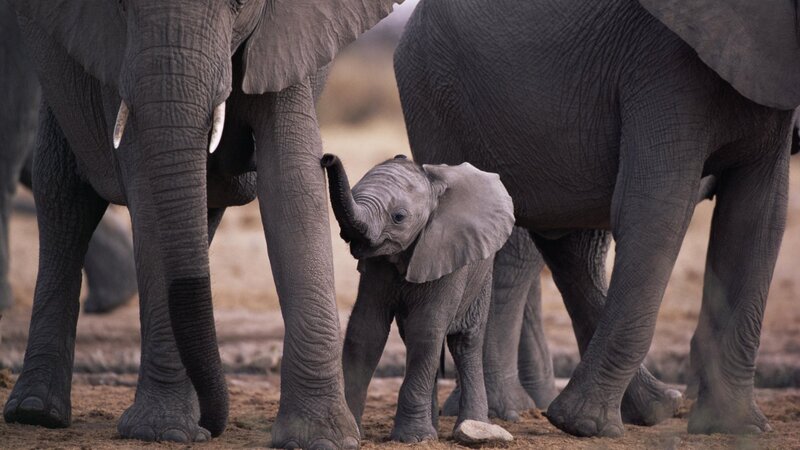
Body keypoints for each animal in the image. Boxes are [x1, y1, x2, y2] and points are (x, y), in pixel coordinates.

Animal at [321, 154, 514, 444]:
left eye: (399, 217)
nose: (327, 158)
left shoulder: (447, 252)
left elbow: (426, 329)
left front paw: (412, 438)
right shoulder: (377, 265)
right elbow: (365, 331)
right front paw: (354, 432)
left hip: (482, 276)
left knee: (464, 343)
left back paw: (472, 426)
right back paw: (433, 428)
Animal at [395, 0, 797, 438]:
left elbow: (757, 220)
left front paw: (735, 428)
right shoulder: (662, 65)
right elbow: (656, 209)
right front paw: (581, 425)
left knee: (570, 247)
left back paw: (655, 407)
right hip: (436, 96)